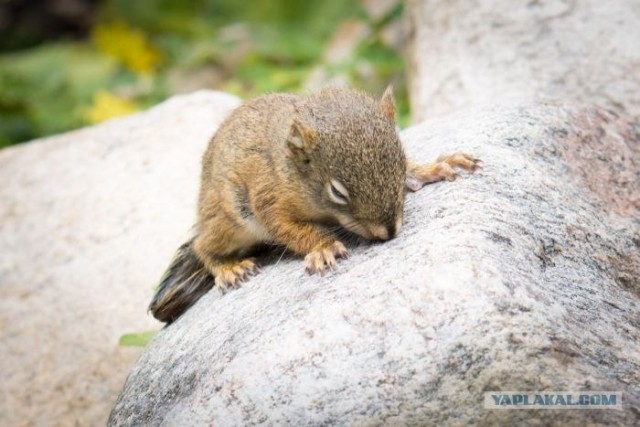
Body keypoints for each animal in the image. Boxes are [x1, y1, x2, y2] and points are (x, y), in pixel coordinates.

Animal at [150, 86, 480, 324]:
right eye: (338, 191)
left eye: (399, 165)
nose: (388, 232)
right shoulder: (268, 198)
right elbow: (289, 229)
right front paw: (323, 247)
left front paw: (433, 168)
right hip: (229, 223)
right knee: (203, 247)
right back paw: (228, 268)